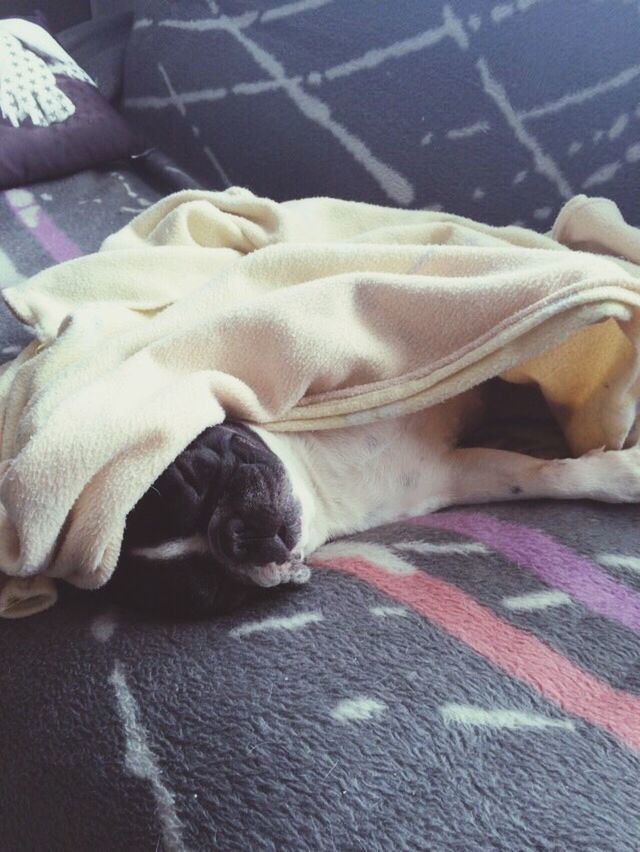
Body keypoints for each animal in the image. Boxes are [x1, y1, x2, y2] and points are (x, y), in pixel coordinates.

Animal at [110, 380, 640, 612]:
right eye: (222, 592)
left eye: (193, 476)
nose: (232, 537)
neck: (316, 482)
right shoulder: (452, 474)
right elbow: (532, 474)